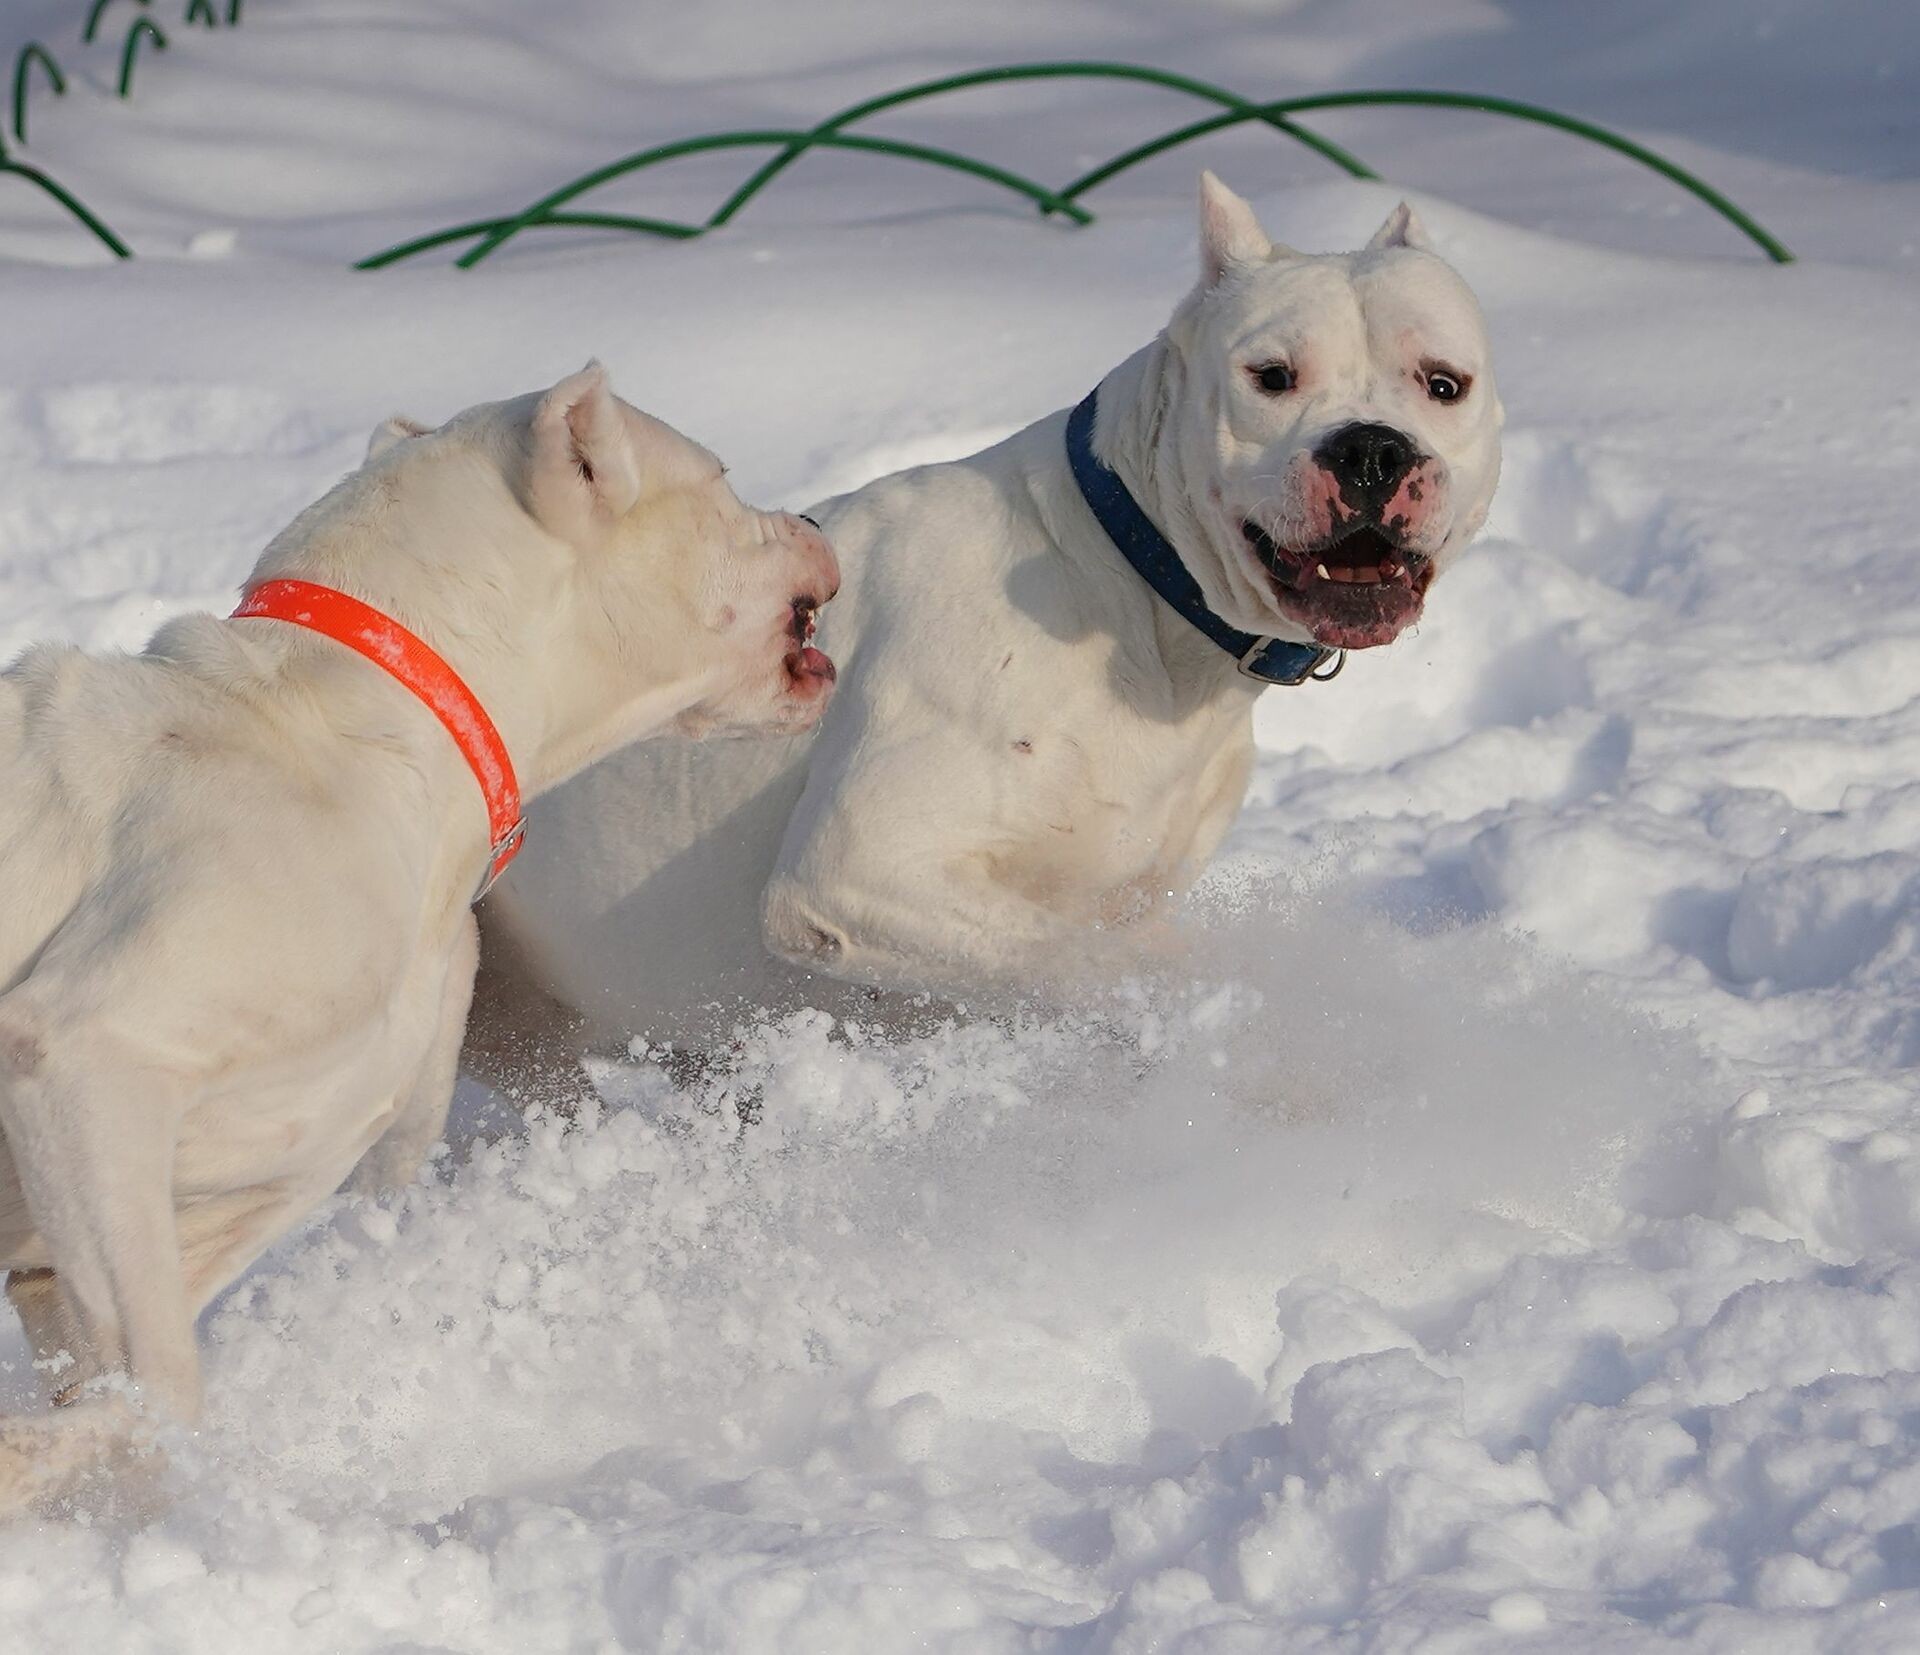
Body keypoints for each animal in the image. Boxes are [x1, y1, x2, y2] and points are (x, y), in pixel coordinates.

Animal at [0, 366, 840, 1512]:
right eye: (719, 477)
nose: (816, 520)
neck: (362, 733)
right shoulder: (83, 1057)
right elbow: (159, 1389)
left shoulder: (163, 1211)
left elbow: (121, 1383)